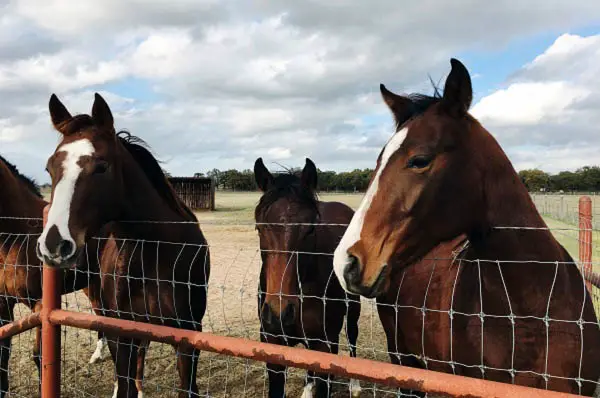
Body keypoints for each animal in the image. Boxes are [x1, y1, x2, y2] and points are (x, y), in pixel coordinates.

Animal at [37, 94, 211, 398]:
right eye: (50, 168)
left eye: (102, 166)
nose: (55, 245)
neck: (157, 253)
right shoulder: (122, 333)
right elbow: (125, 381)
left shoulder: (188, 338)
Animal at [253, 159, 360, 398]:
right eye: (259, 228)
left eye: (310, 229)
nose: (280, 314)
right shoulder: (273, 345)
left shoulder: (323, 345)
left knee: (352, 334)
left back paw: (355, 385)